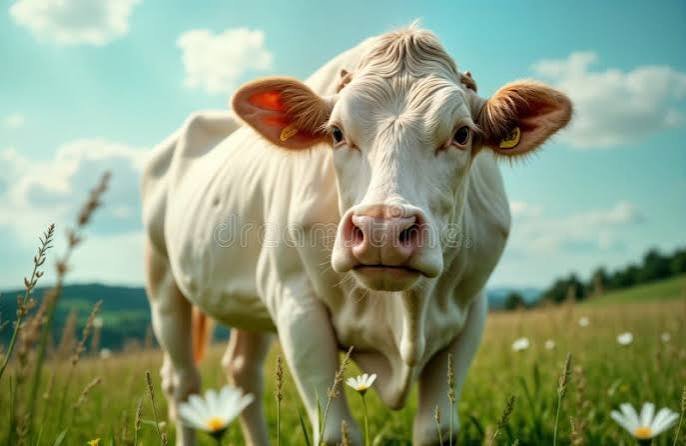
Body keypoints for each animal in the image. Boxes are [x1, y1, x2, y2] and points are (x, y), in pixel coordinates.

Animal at [141, 24, 571, 446]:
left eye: (463, 134)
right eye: (335, 133)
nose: (383, 229)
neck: (405, 319)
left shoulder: (470, 308)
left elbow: (438, 427)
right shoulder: (296, 303)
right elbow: (337, 431)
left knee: (242, 373)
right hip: (164, 284)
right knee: (182, 384)